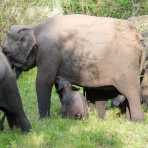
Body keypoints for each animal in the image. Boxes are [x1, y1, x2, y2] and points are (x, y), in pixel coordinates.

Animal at [2, 14, 145, 121]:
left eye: (5, 52)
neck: (34, 28)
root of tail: (138, 37)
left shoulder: (49, 52)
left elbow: (44, 81)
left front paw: (43, 121)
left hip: (127, 66)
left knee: (131, 93)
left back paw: (136, 121)